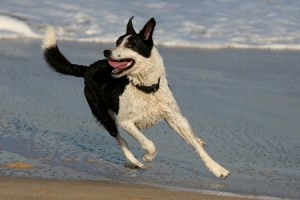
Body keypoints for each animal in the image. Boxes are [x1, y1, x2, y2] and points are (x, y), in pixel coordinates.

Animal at [41, 16, 230, 177]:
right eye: (117, 43)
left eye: (130, 44)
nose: (106, 51)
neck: (146, 88)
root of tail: (88, 69)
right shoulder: (125, 121)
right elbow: (149, 144)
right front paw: (147, 156)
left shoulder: (175, 117)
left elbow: (197, 147)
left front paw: (217, 169)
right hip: (105, 116)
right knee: (120, 139)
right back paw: (136, 163)